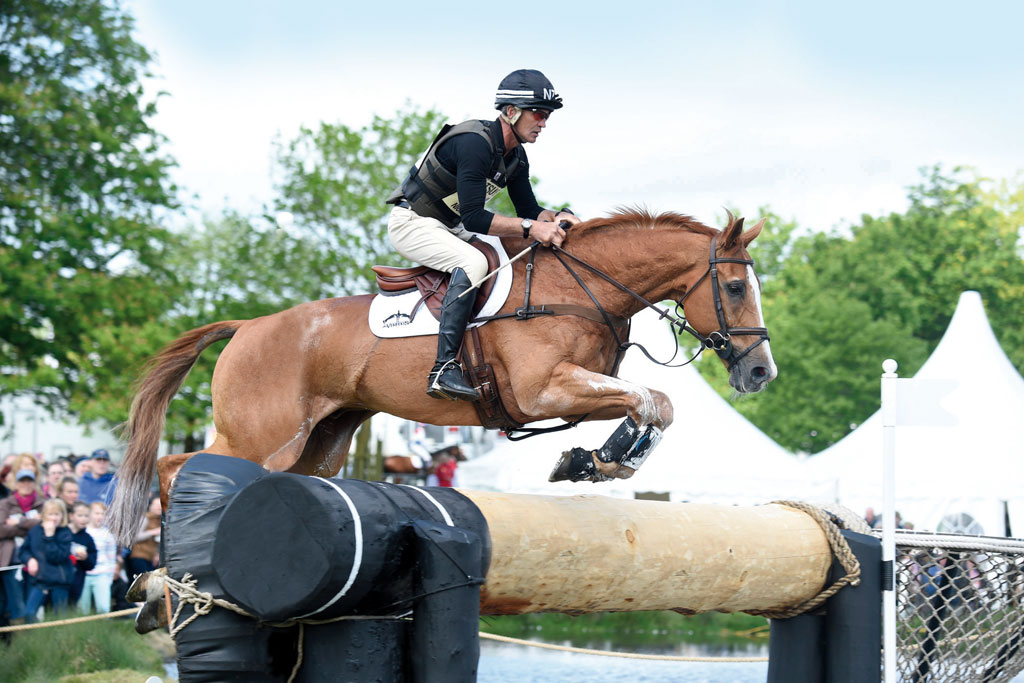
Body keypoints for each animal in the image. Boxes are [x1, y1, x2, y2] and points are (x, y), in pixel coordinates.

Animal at [108, 208, 774, 544]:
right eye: (734, 287)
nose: (761, 372)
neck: (578, 288)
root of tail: (248, 325)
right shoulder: (540, 391)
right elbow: (650, 397)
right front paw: (600, 460)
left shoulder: (573, 392)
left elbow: (653, 404)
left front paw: (591, 461)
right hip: (263, 436)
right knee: (179, 466)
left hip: (319, 445)